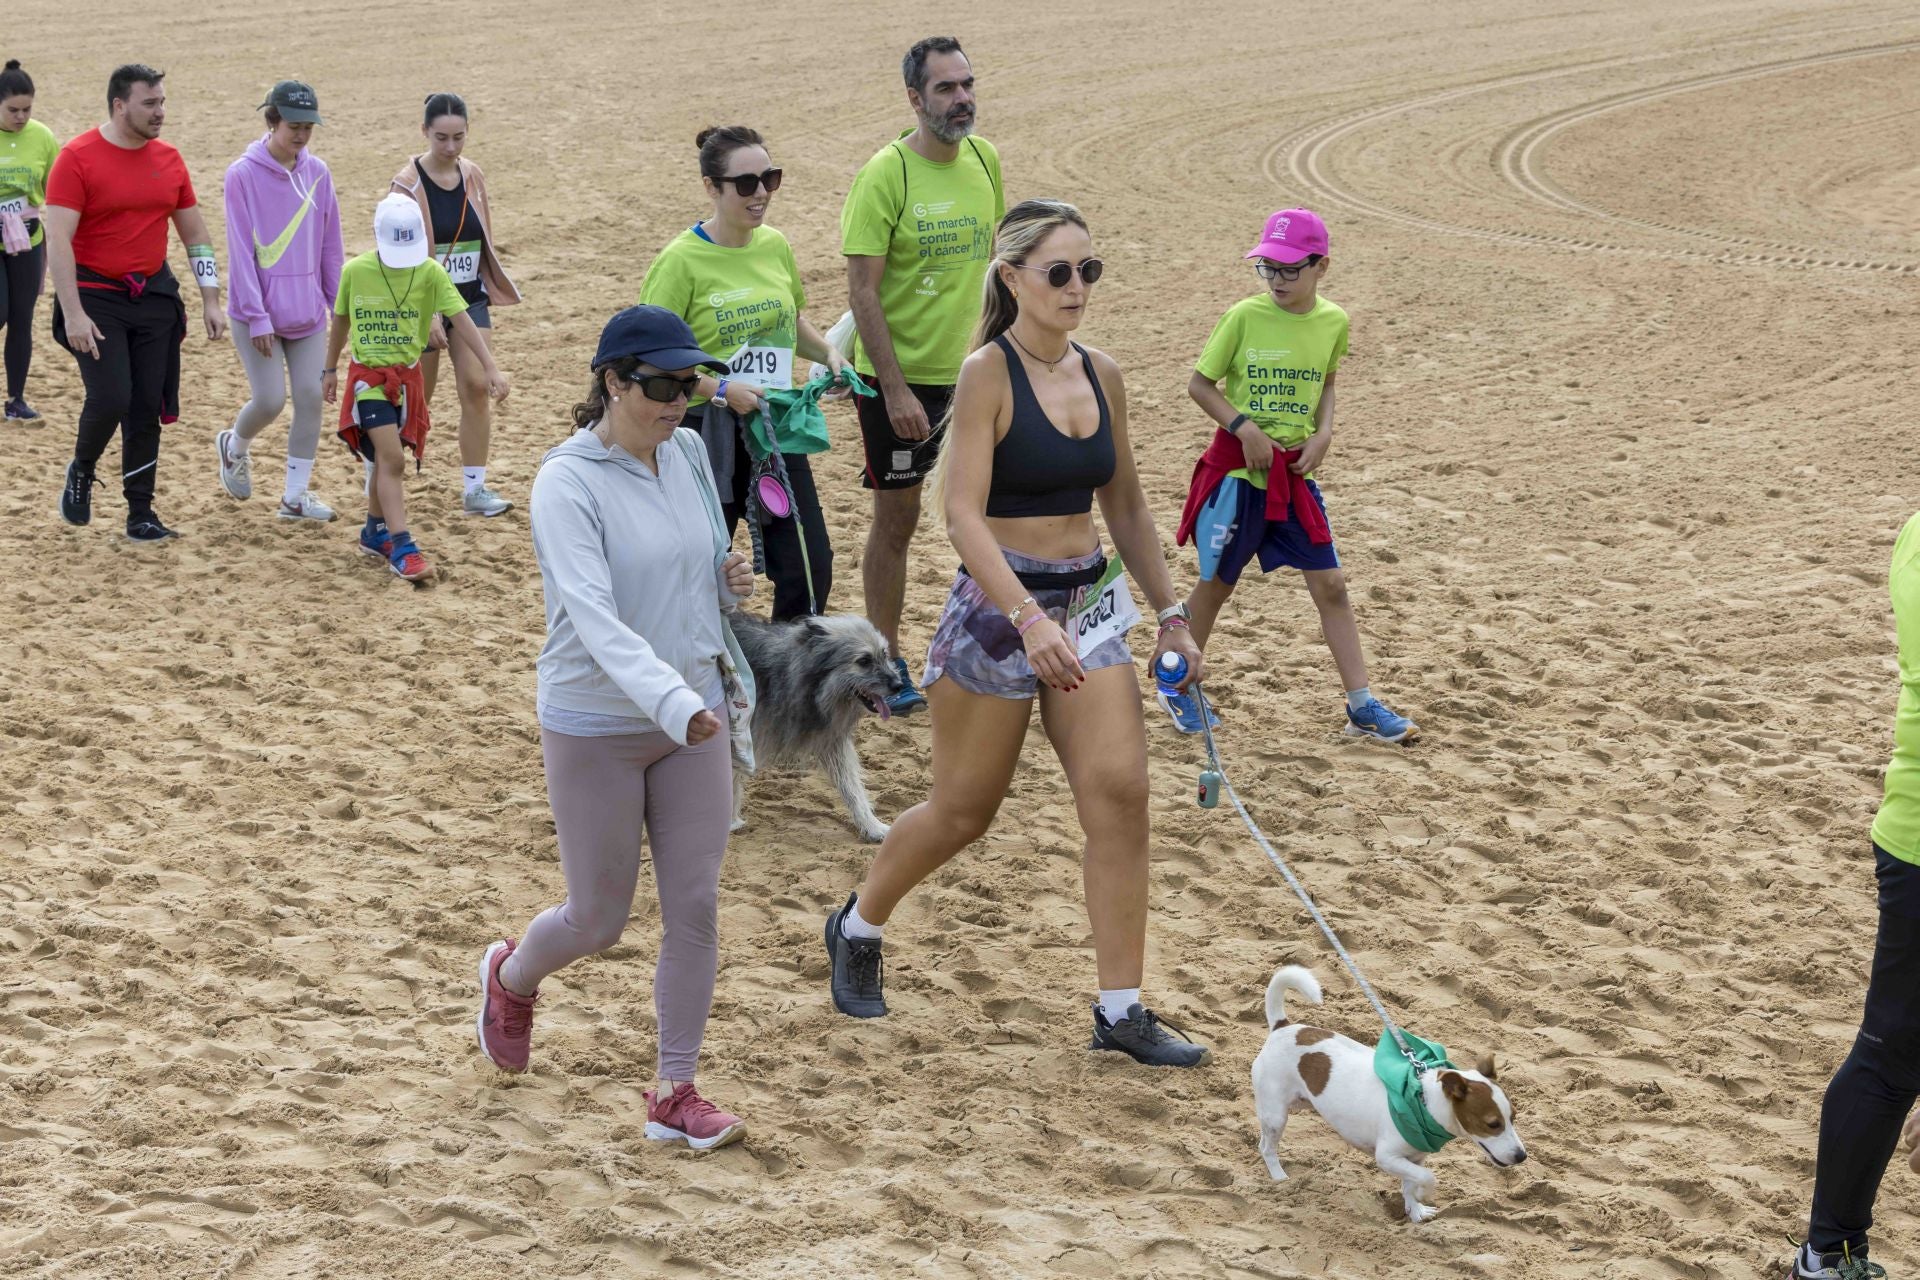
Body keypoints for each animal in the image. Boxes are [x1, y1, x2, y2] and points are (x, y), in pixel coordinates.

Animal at [721, 614, 902, 844]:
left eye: (884, 654)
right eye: (864, 661)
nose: (899, 685)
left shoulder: (832, 743)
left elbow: (852, 788)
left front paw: (872, 826)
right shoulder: (740, 735)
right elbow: (731, 779)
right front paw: (729, 822)